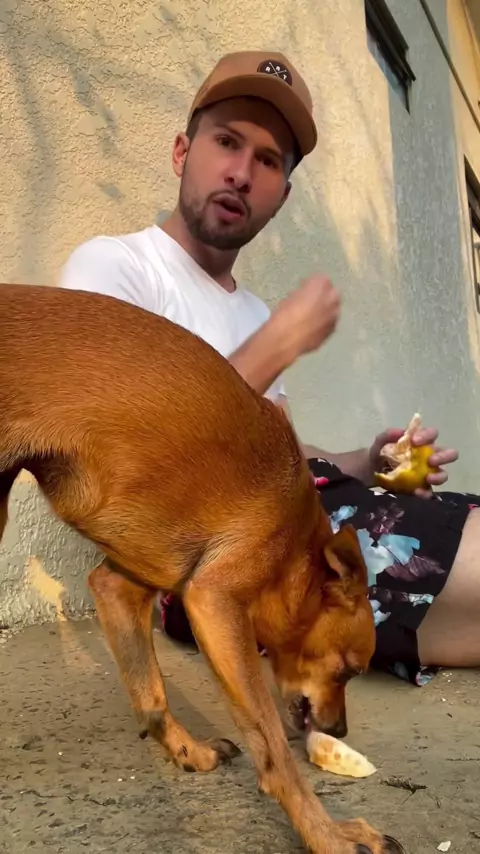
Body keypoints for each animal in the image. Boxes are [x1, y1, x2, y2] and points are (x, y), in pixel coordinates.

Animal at [0, 283, 399, 854]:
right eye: (348, 670)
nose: (340, 732)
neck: (294, 547)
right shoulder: (214, 603)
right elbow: (274, 748)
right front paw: (328, 834)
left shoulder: (120, 588)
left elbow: (149, 693)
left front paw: (187, 749)